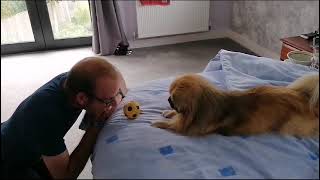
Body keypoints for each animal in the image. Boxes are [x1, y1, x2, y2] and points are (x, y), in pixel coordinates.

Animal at [151, 73, 318, 138]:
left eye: (173, 99)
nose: (168, 99)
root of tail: (304, 98)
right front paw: (168, 113)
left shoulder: (188, 128)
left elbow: (172, 125)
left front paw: (159, 122)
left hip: (289, 125)